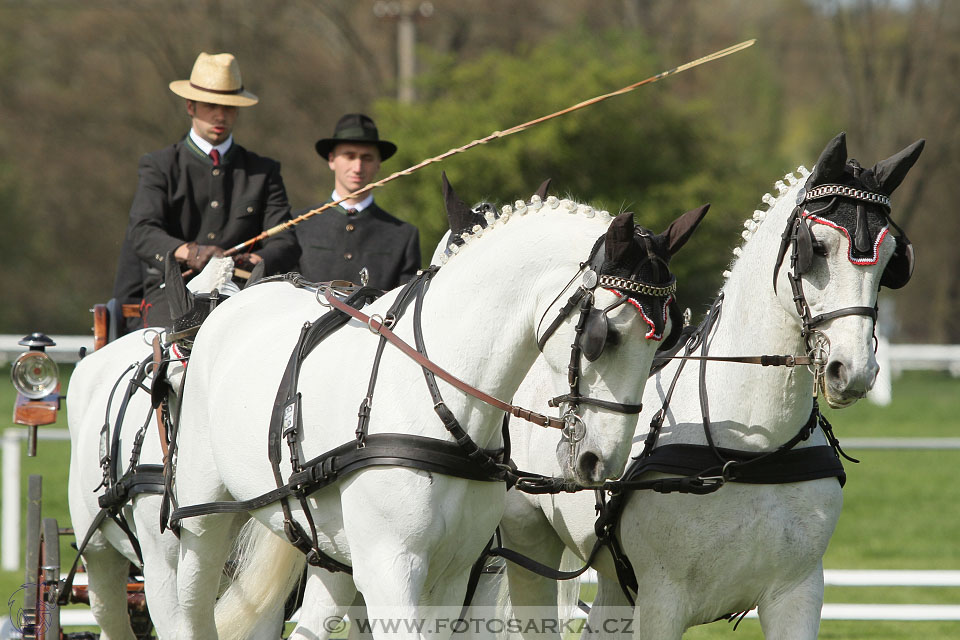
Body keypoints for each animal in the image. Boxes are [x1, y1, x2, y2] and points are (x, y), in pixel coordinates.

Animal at [171, 192, 704, 636]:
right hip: (202, 521)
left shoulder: (451, 574)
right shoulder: (389, 567)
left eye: (671, 335)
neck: (440, 405)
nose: (601, 463)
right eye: (602, 336)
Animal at [496, 132, 924, 636]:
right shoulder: (662, 600)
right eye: (817, 247)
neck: (751, 450)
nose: (853, 369)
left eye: (891, 258)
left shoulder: (797, 593)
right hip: (528, 542)